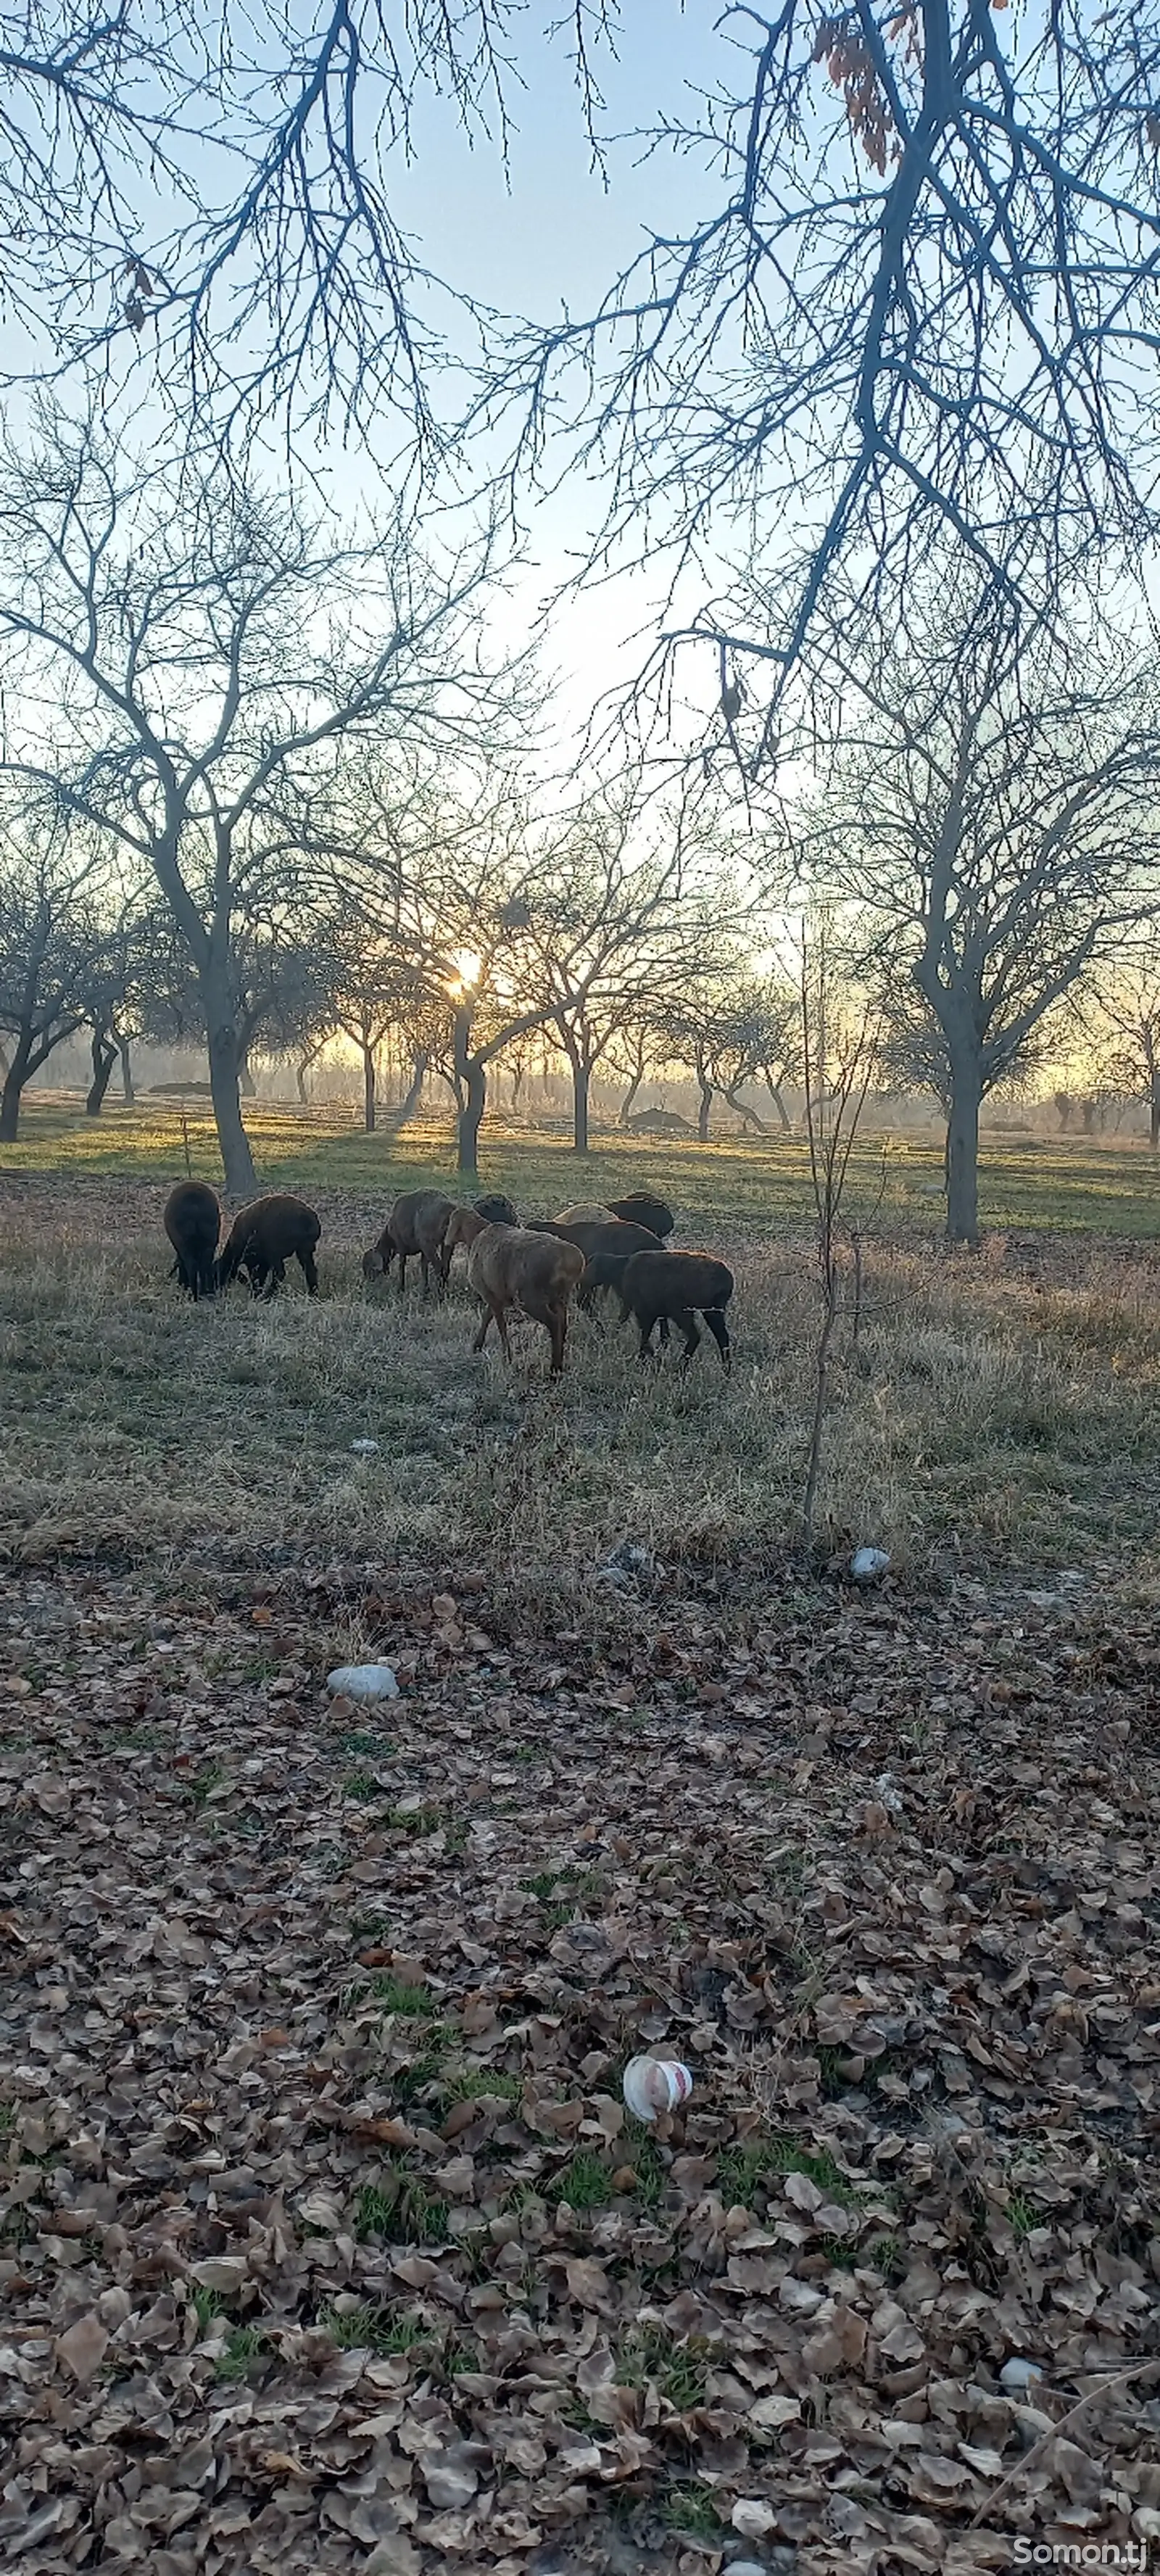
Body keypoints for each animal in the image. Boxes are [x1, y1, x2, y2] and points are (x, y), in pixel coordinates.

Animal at [165, 1185, 224, 1308]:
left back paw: (194, 1295)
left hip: (184, 1242)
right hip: (209, 1241)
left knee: (191, 1265)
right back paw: (204, 1293)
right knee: (204, 1266)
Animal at [214, 1190, 319, 1298]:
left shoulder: (254, 1260)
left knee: (280, 1273)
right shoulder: (261, 1261)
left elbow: (256, 1278)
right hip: (305, 1248)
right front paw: (256, 1293)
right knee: (310, 1270)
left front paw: (255, 1294)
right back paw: (313, 1295)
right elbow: (259, 1277)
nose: (217, 1290)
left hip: (274, 1250)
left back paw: (268, 1295)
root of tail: (306, 1217)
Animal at [360, 1190, 456, 1298]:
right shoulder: (423, 1251)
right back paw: (444, 1293)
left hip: (428, 1244)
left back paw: (440, 1296)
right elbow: (424, 1268)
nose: (368, 1281)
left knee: (439, 1267)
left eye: (369, 1266)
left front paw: (401, 1289)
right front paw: (425, 1291)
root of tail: (449, 1209)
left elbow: (402, 1266)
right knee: (446, 1268)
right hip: (447, 1244)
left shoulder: (401, 1246)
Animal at [464, 1221, 585, 1380]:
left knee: (554, 1322)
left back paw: (553, 1370)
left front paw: (507, 1357)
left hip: (531, 1297)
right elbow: (487, 1317)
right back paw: (559, 1367)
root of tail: (575, 1262)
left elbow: (500, 1325)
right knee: (563, 1324)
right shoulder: (499, 1296)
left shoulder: (489, 1293)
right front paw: (477, 1346)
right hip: (561, 1297)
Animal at [616, 1246, 732, 1370]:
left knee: (695, 1336)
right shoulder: (651, 1313)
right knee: (723, 1337)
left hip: (683, 1311)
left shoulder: (644, 1311)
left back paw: (681, 1368)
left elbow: (645, 1337)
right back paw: (726, 1370)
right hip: (713, 1311)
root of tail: (727, 1279)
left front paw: (644, 1361)